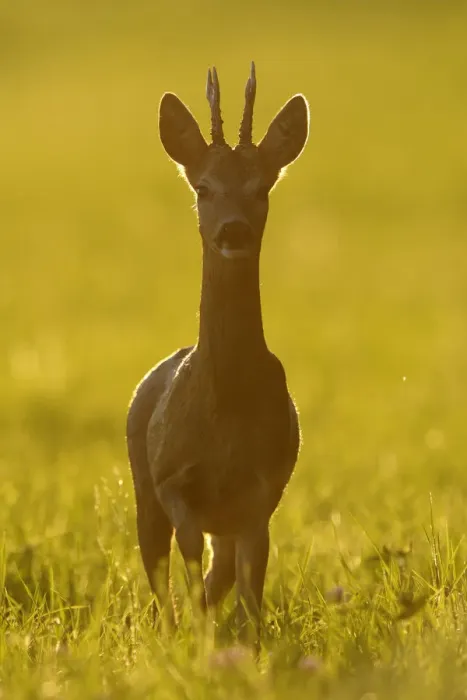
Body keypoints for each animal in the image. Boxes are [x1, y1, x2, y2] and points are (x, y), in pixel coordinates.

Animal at [126, 62, 309, 645]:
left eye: (262, 186)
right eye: (202, 187)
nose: (233, 229)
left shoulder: (262, 492)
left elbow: (248, 588)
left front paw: (244, 647)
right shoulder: (173, 480)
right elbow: (187, 573)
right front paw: (197, 641)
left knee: (220, 571)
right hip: (142, 483)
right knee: (158, 571)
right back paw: (168, 634)